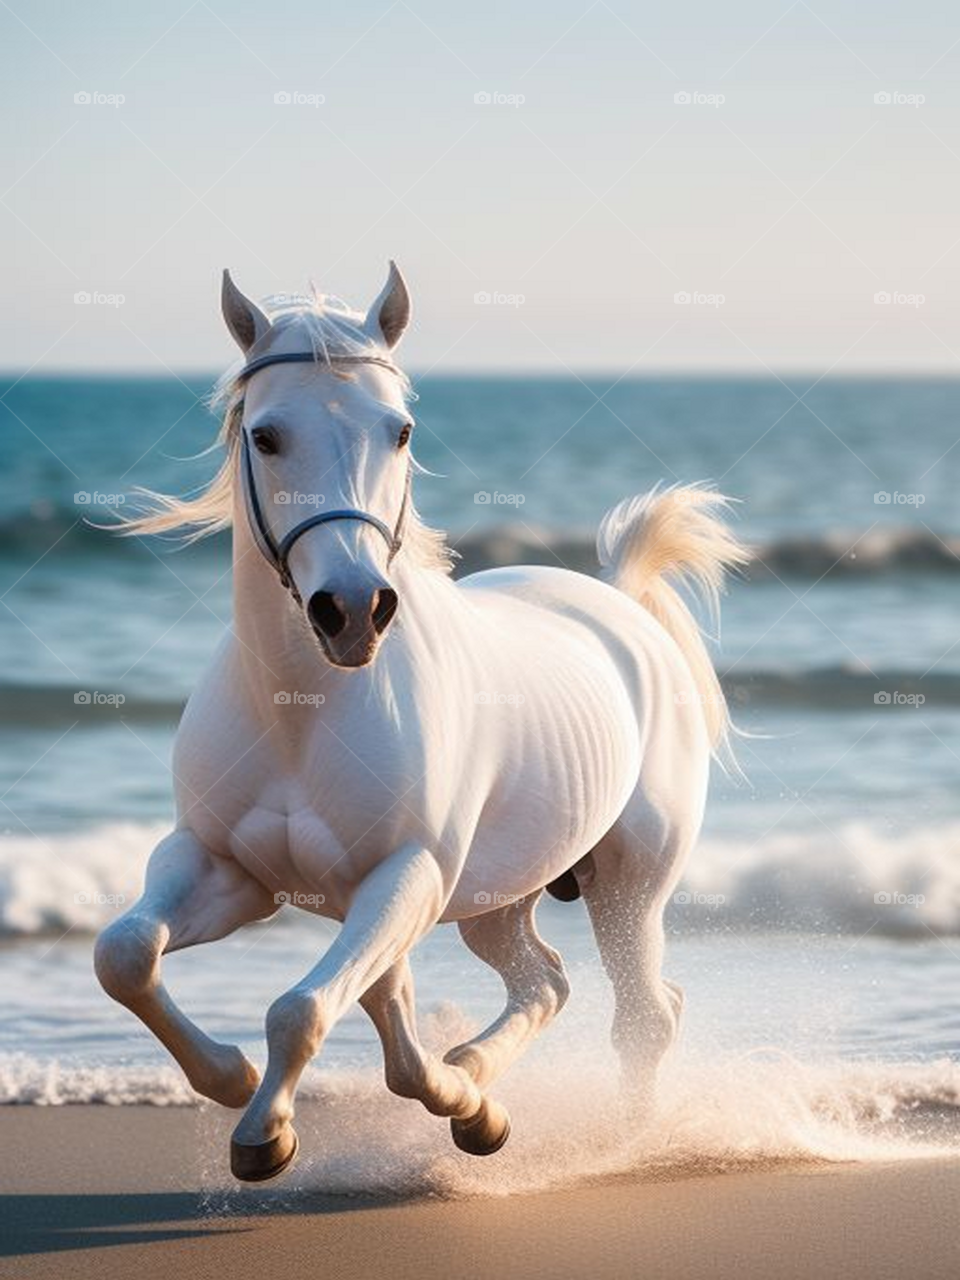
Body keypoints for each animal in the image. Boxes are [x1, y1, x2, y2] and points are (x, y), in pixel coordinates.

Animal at [94, 262, 747, 1182]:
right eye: (266, 436)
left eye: (400, 430)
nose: (352, 611)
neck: (303, 711)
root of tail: (619, 601)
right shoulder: (226, 870)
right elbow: (125, 958)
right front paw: (233, 1080)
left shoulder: (407, 874)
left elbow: (303, 1009)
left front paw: (265, 1133)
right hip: (497, 902)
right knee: (547, 983)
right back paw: (476, 1094)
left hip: (629, 884)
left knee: (645, 1013)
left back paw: (622, 1144)